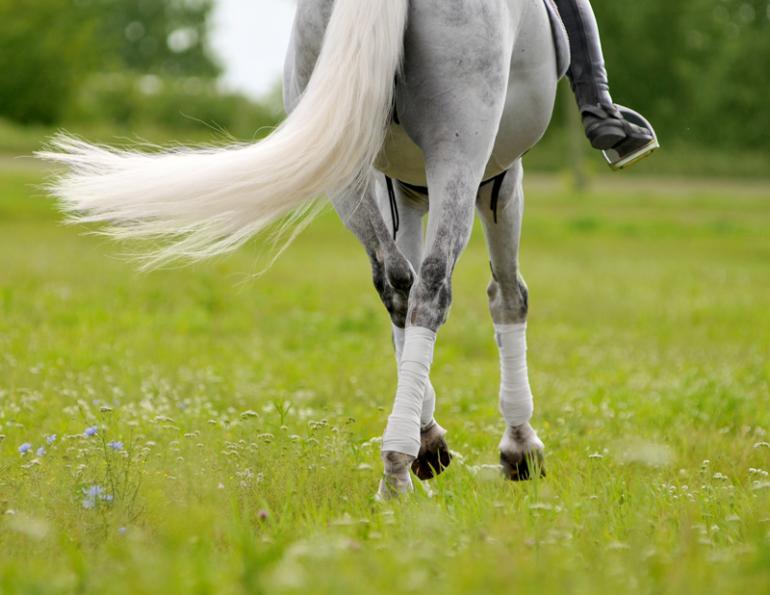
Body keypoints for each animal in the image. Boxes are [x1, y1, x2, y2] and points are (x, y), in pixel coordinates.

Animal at [38, 0, 570, 498]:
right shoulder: (498, 178)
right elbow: (507, 295)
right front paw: (519, 448)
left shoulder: (402, 187)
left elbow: (407, 278)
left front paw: (436, 436)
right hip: (458, 151)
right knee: (432, 290)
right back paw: (398, 469)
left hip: (349, 165)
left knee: (396, 284)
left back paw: (413, 447)